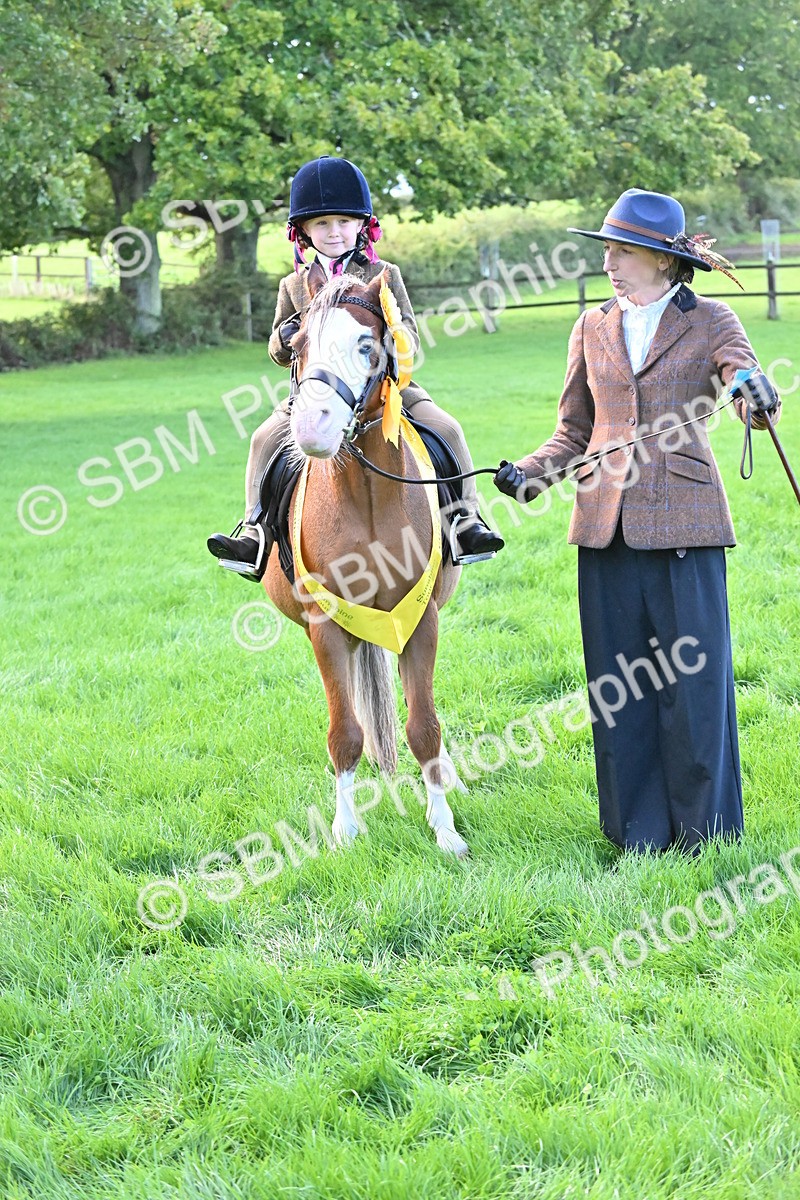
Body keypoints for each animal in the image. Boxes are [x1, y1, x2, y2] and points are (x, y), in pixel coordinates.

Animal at [263, 260, 469, 858]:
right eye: (297, 343)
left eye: (366, 345)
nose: (312, 427)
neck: (368, 495)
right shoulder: (327, 627)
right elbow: (345, 733)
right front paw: (345, 829)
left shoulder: (421, 620)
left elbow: (424, 726)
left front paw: (444, 828)